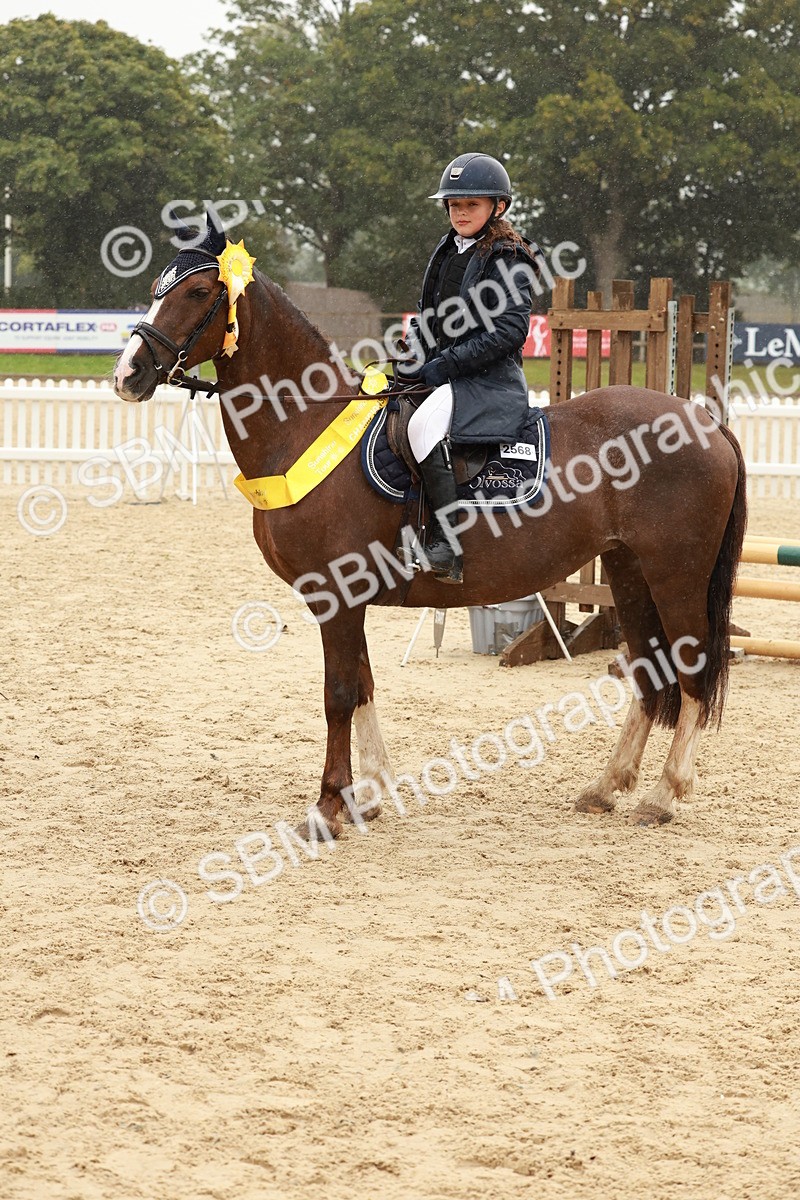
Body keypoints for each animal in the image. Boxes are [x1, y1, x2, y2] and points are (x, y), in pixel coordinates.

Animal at [113, 222, 746, 834]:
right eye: (157, 289)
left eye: (198, 293)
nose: (128, 374)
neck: (305, 424)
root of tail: (704, 422)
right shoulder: (347, 601)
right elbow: (363, 686)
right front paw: (369, 796)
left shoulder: (336, 596)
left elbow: (338, 695)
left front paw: (329, 807)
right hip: (629, 573)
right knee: (648, 671)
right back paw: (607, 787)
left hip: (675, 576)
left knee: (691, 670)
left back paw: (664, 796)